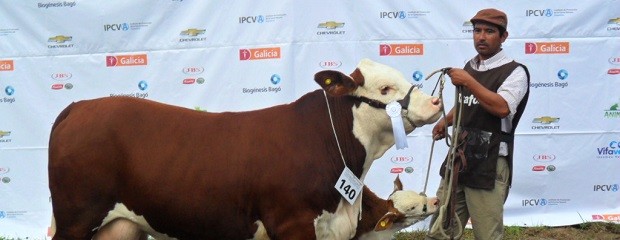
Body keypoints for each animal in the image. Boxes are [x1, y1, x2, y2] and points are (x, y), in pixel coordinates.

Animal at [48, 58, 440, 240]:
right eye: (386, 88)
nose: (435, 103)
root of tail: (79, 107)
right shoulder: (291, 223)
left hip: (119, 225)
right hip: (75, 219)